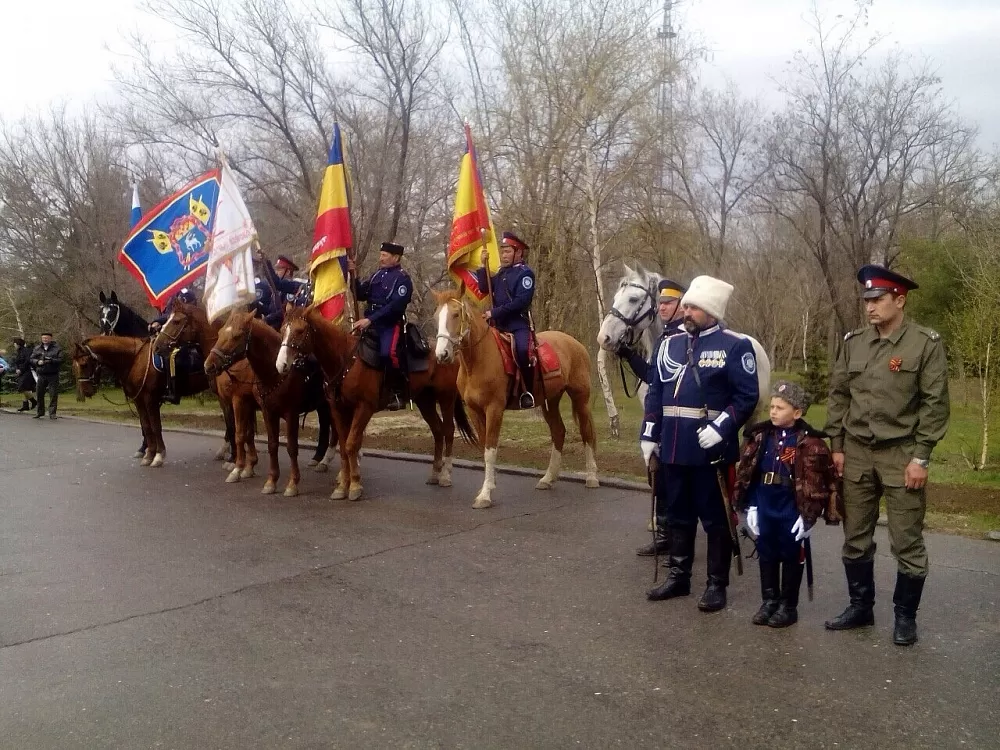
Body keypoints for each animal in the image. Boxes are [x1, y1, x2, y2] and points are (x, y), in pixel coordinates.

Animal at [205, 308, 334, 496]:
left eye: (237, 336)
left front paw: (292, 483)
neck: (275, 373)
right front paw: (270, 480)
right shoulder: (266, 411)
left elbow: (291, 447)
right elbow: (269, 443)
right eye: (220, 333)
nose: (209, 365)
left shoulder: (288, 413)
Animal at [274, 306, 476, 506]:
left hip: (446, 398)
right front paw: (342, 486)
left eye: (300, 331)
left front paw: (355, 485)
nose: (281, 365)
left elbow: (351, 444)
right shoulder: (338, 409)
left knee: (448, 431)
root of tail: (447, 350)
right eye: (283, 330)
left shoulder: (364, 408)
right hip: (424, 400)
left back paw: (445, 475)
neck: (345, 359)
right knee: (437, 431)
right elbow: (343, 447)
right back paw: (434, 473)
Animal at [434, 292, 596, 512]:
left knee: (587, 433)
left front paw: (485, 495)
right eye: (436, 317)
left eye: (456, 314)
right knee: (558, 432)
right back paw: (548, 478)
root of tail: (574, 342)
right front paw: (489, 485)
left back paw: (591, 477)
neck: (477, 361)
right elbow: (485, 446)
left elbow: (490, 450)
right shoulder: (475, 411)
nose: (442, 354)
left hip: (581, 398)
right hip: (551, 400)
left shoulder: (494, 409)